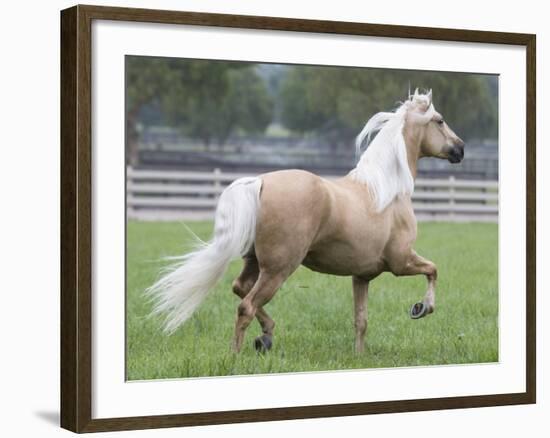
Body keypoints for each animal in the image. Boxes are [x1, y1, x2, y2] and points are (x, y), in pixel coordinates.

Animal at [147, 89, 466, 352]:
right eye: (439, 120)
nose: (460, 149)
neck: (385, 190)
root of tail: (260, 182)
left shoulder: (362, 276)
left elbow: (361, 321)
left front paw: (359, 356)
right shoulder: (401, 262)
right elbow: (433, 270)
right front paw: (421, 308)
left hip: (255, 262)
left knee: (240, 288)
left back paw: (265, 337)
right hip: (279, 269)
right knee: (245, 306)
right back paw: (237, 355)